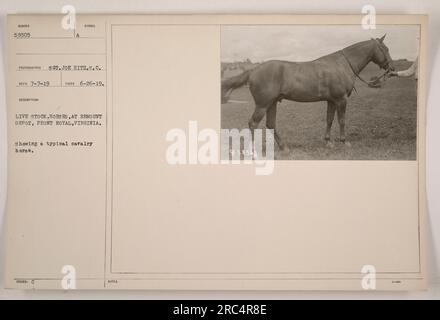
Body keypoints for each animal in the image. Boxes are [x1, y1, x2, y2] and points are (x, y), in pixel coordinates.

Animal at [220, 35, 396, 150]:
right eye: (385, 49)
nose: (392, 68)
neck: (341, 65)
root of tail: (253, 70)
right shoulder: (341, 99)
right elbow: (342, 120)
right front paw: (344, 141)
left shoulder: (332, 100)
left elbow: (329, 120)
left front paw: (328, 141)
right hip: (262, 105)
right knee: (253, 124)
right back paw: (254, 151)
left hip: (272, 103)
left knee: (270, 124)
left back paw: (283, 147)